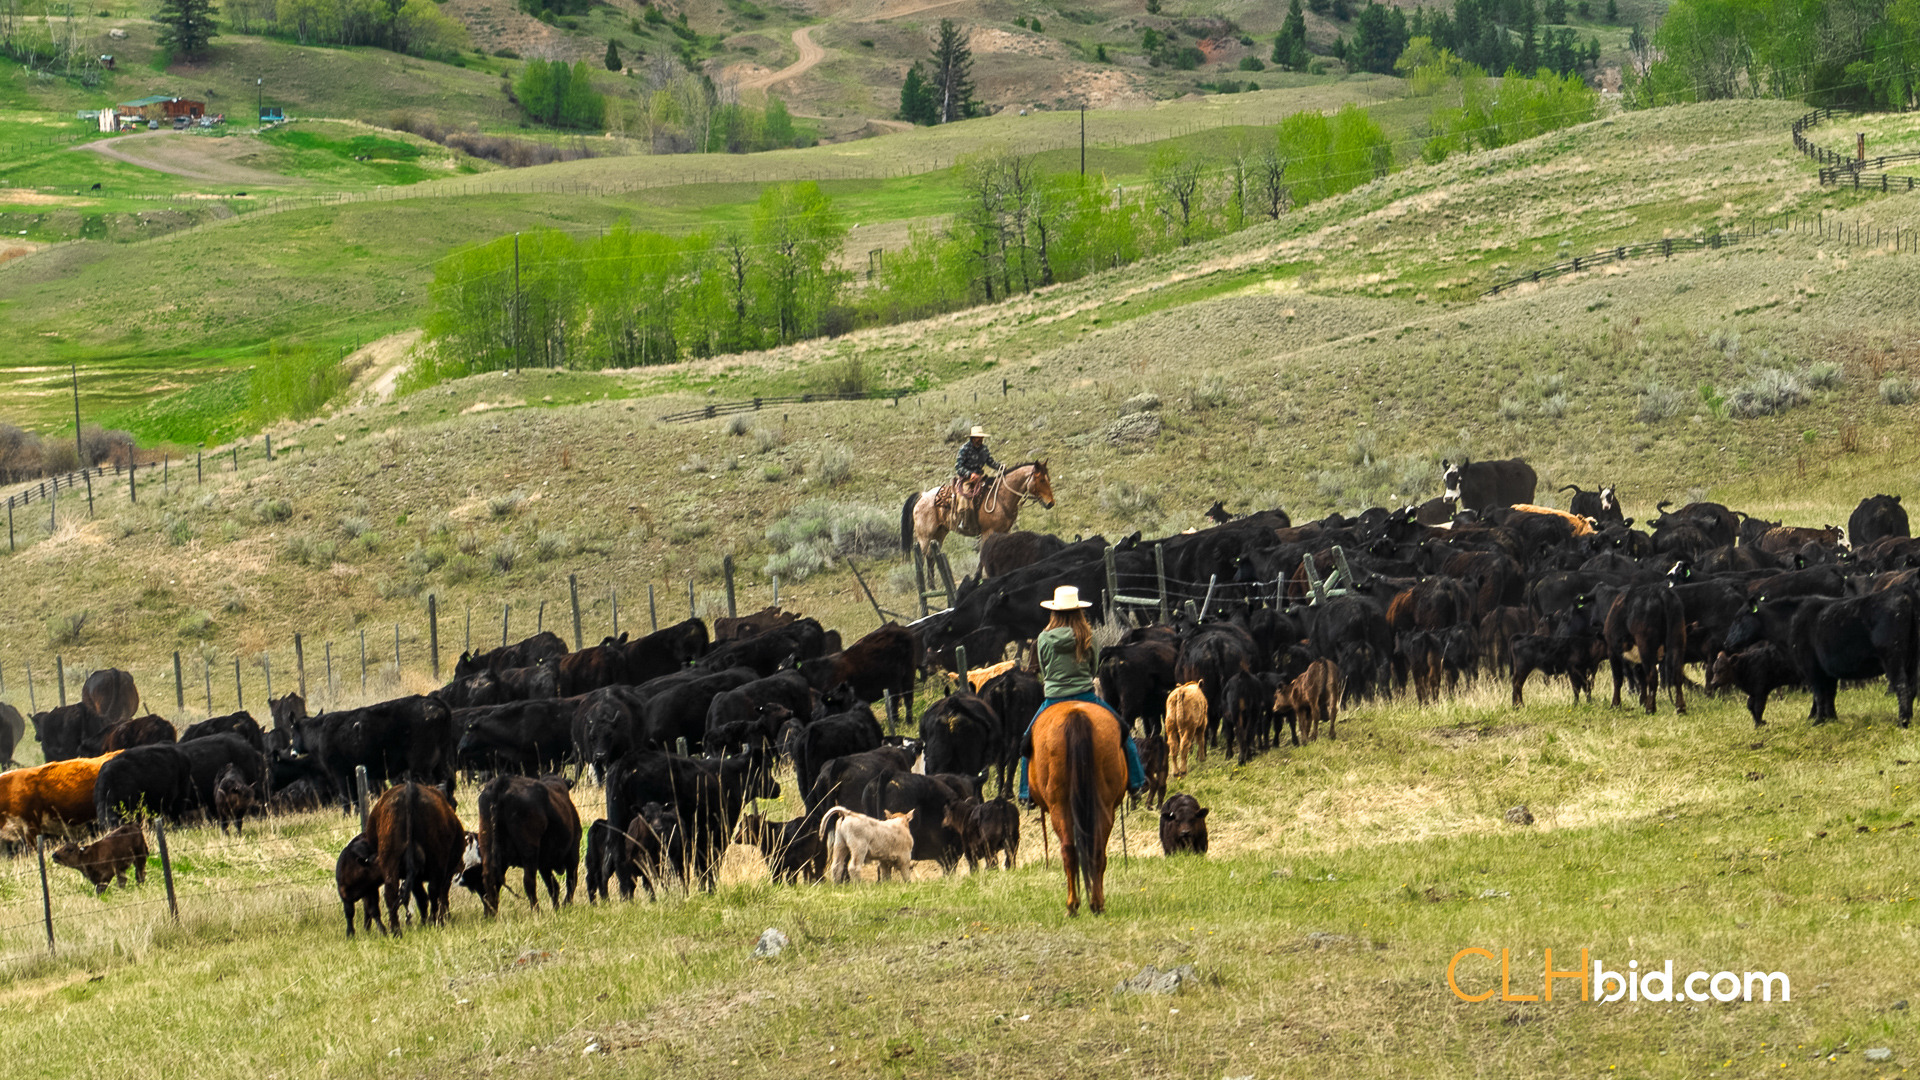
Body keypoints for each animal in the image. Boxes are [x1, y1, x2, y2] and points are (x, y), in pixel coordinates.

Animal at [366, 781, 465, 935]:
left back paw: (396, 930)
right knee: (434, 890)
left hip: (390, 858)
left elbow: (421, 897)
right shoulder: (447, 871)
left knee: (391, 892)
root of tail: (410, 789)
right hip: (438, 860)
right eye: (455, 803)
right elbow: (442, 896)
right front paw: (443, 919)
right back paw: (435, 922)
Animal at [475, 774, 581, 914]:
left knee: (490, 878)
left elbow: (553, 886)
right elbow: (571, 881)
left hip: (488, 846)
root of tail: (504, 781)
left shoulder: (544, 863)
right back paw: (536, 911)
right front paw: (566, 905)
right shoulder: (572, 852)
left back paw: (490, 912)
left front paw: (557, 908)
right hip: (529, 851)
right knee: (529, 881)